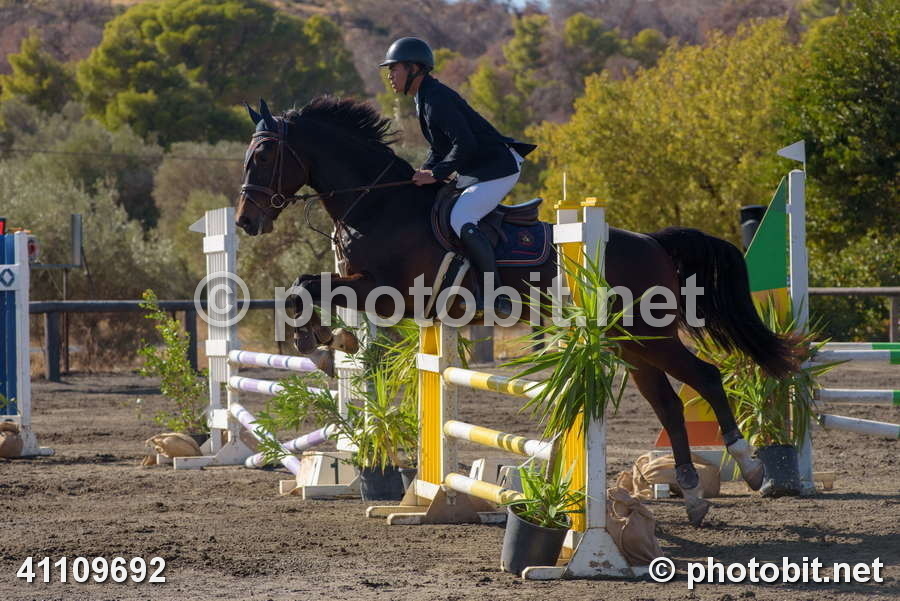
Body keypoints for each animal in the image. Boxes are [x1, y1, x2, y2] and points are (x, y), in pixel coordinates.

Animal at [235, 97, 801, 526]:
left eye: (262, 155)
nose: (245, 221)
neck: (378, 203)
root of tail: (655, 244)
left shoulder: (389, 290)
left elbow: (306, 288)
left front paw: (322, 346)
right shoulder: (375, 289)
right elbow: (302, 288)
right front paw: (329, 344)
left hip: (647, 335)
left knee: (704, 378)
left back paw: (752, 469)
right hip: (630, 345)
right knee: (667, 403)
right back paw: (693, 494)